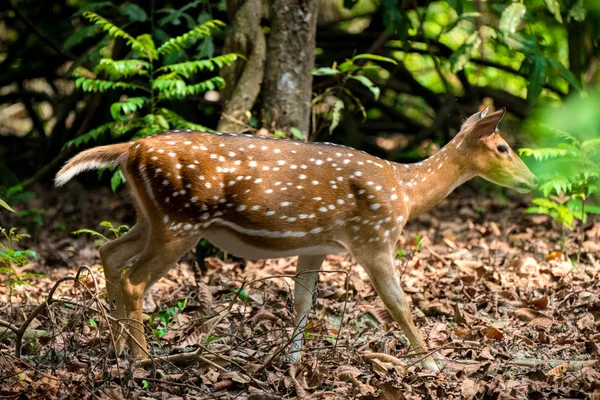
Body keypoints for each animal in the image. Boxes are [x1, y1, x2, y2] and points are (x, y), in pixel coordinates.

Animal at [55, 108, 536, 370]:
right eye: (504, 148)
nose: (532, 181)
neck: (404, 191)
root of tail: (129, 150)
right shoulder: (374, 237)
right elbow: (398, 303)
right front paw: (433, 364)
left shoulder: (316, 245)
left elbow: (303, 301)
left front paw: (292, 361)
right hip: (181, 220)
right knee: (134, 278)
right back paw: (143, 358)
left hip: (152, 217)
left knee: (109, 251)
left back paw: (117, 348)